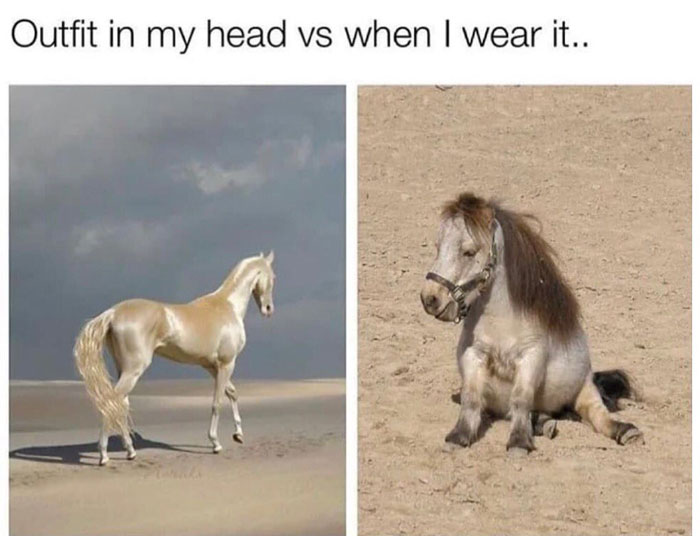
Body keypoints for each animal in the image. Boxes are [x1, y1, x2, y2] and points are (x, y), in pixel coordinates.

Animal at [74, 251, 275, 465]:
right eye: (273, 277)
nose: (268, 309)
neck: (227, 306)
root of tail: (113, 313)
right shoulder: (226, 364)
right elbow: (217, 402)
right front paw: (215, 443)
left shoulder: (212, 366)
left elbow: (232, 393)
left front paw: (238, 434)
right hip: (133, 370)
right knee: (112, 402)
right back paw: (104, 456)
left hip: (124, 370)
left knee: (120, 404)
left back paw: (130, 451)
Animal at [420, 193, 643, 454]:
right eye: (438, 247)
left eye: (468, 252)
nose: (430, 299)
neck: (502, 322)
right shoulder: (473, 354)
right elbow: (471, 397)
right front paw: (459, 436)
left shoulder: (531, 356)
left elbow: (521, 397)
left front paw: (518, 442)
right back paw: (545, 424)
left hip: (584, 388)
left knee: (596, 414)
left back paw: (626, 431)